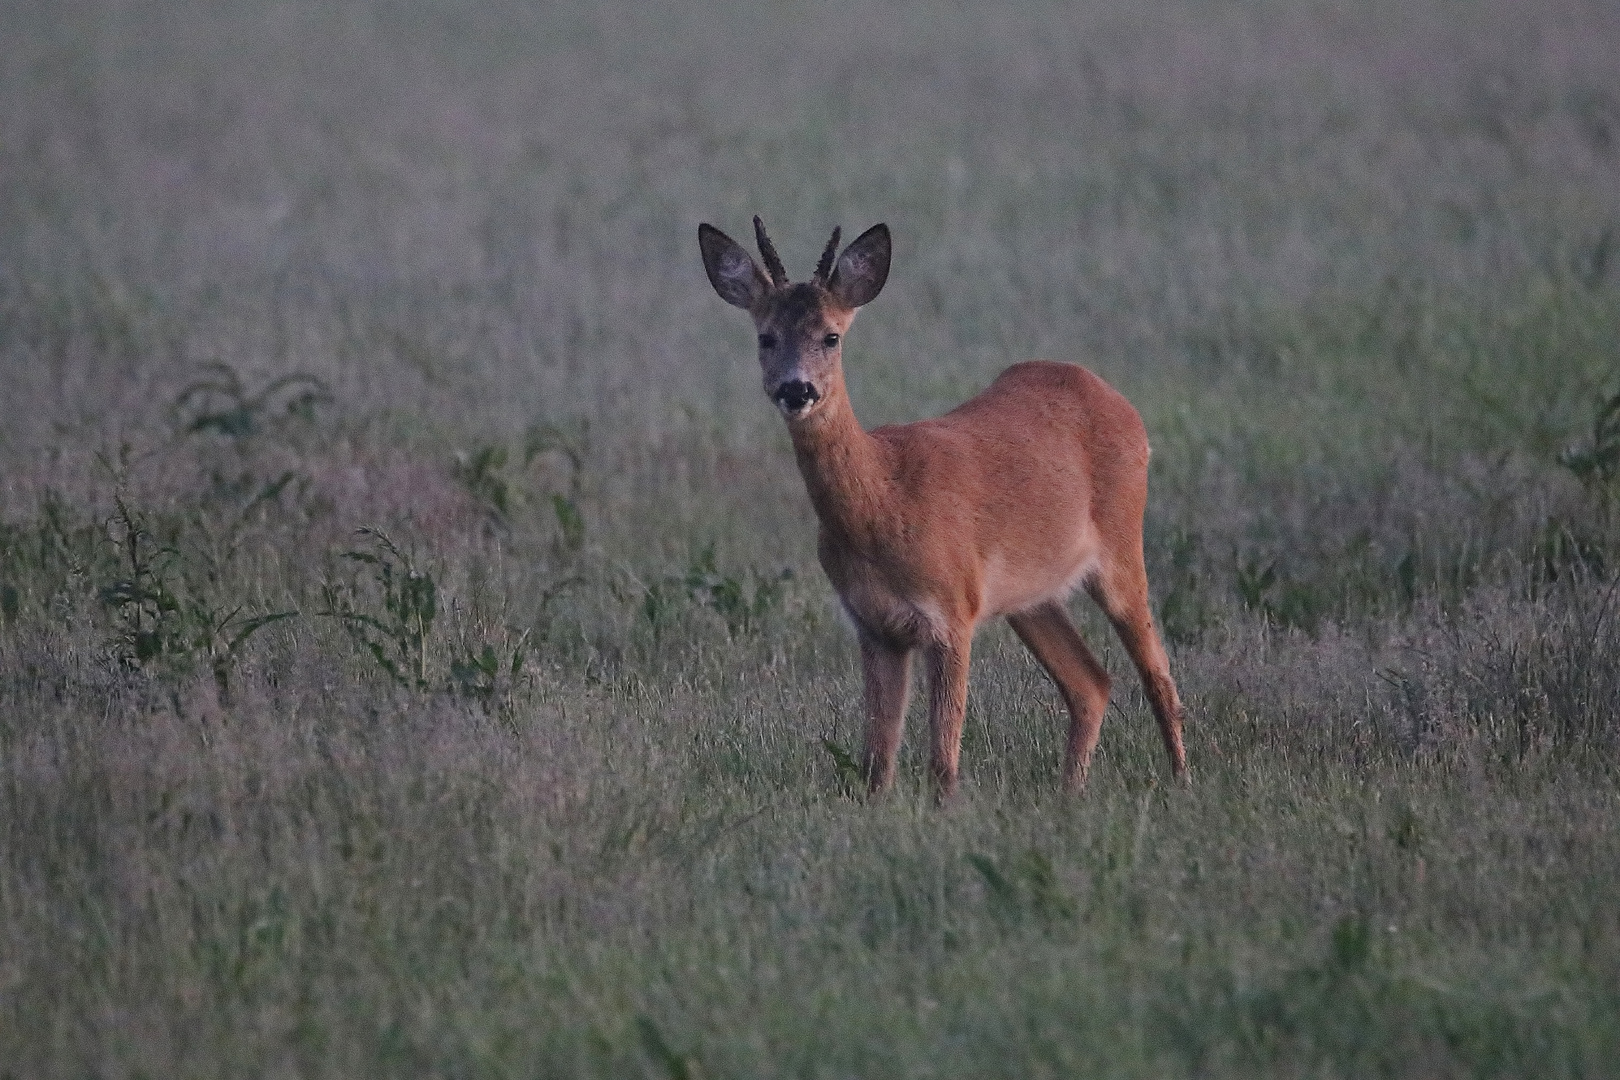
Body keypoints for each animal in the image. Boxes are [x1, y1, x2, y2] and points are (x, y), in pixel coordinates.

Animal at [699, 216, 1192, 793]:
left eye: (831, 336)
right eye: (766, 336)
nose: (796, 390)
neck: (884, 501)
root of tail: (1117, 401)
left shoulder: (952, 611)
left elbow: (942, 756)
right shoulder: (875, 626)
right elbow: (877, 760)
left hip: (1120, 545)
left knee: (1157, 673)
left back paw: (1181, 781)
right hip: (1031, 596)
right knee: (1091, 681)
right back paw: (1070, 793)